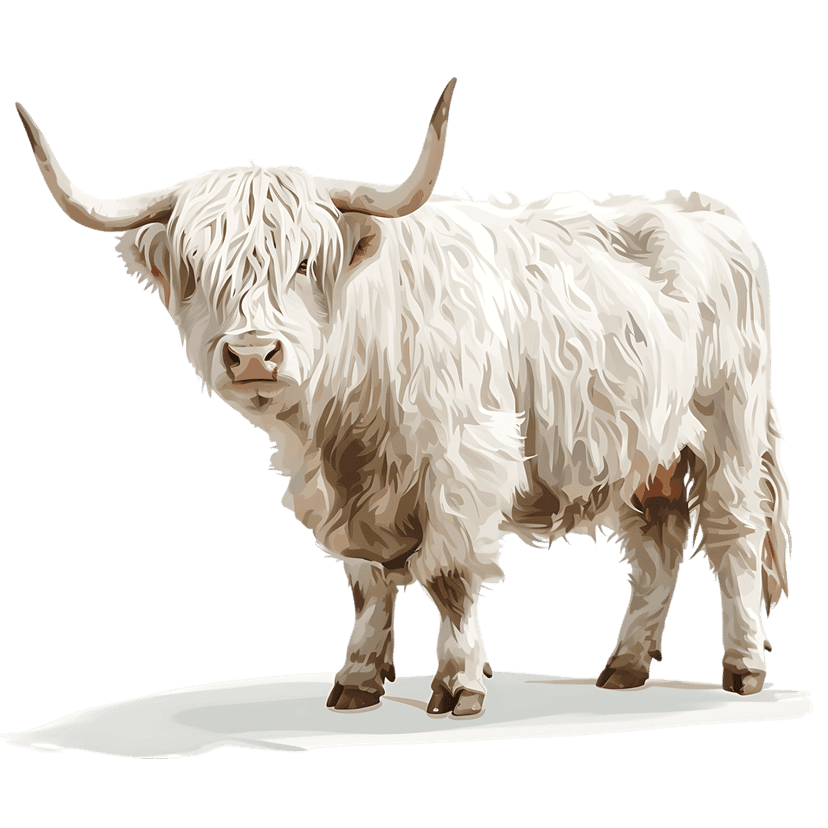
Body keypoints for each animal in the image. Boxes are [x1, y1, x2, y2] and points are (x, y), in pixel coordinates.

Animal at [17, 78, 791, 717]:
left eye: (306, 262)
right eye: (197, 268)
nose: (253, 353)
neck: (344, 425)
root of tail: (699, 210)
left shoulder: (465, 463)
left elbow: (448, 575)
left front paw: (460, 684)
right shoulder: (345, 491)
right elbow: (367, 581)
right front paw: (358, 679)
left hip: (729, 426)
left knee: (733, 535)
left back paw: (744, 669)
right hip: (643, 447)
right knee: (658, 540)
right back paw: (625, 666)